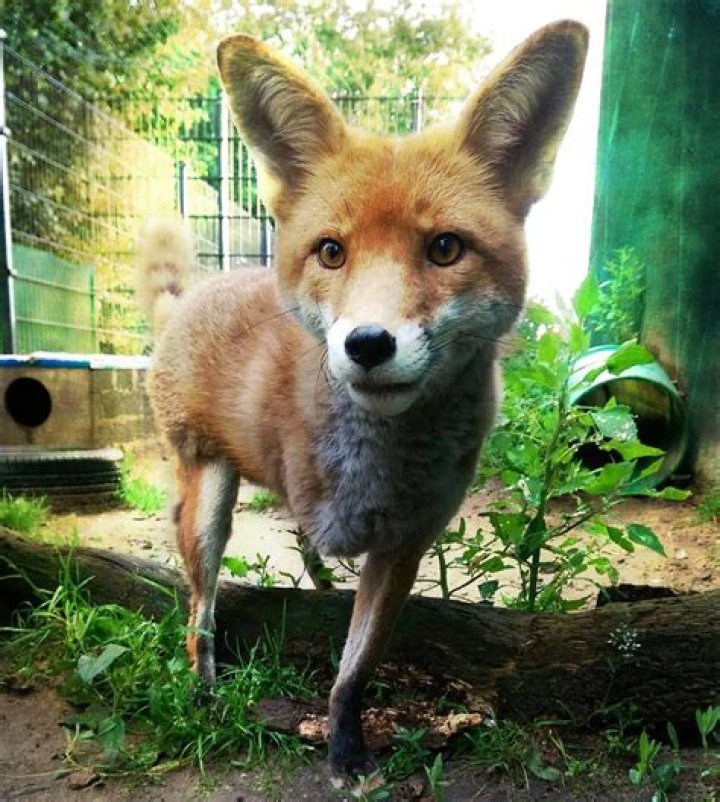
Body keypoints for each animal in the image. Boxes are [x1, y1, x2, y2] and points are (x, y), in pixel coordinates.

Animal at [139, 21, 588, 773]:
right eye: (331, 252)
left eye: (445, 248)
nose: (368, 344)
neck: (380, 462)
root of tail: (194, 295)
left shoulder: (405, 545)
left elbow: (355, 670)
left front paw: (346, 751)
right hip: (209, 497)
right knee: (198, 609)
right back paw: (203, 690)